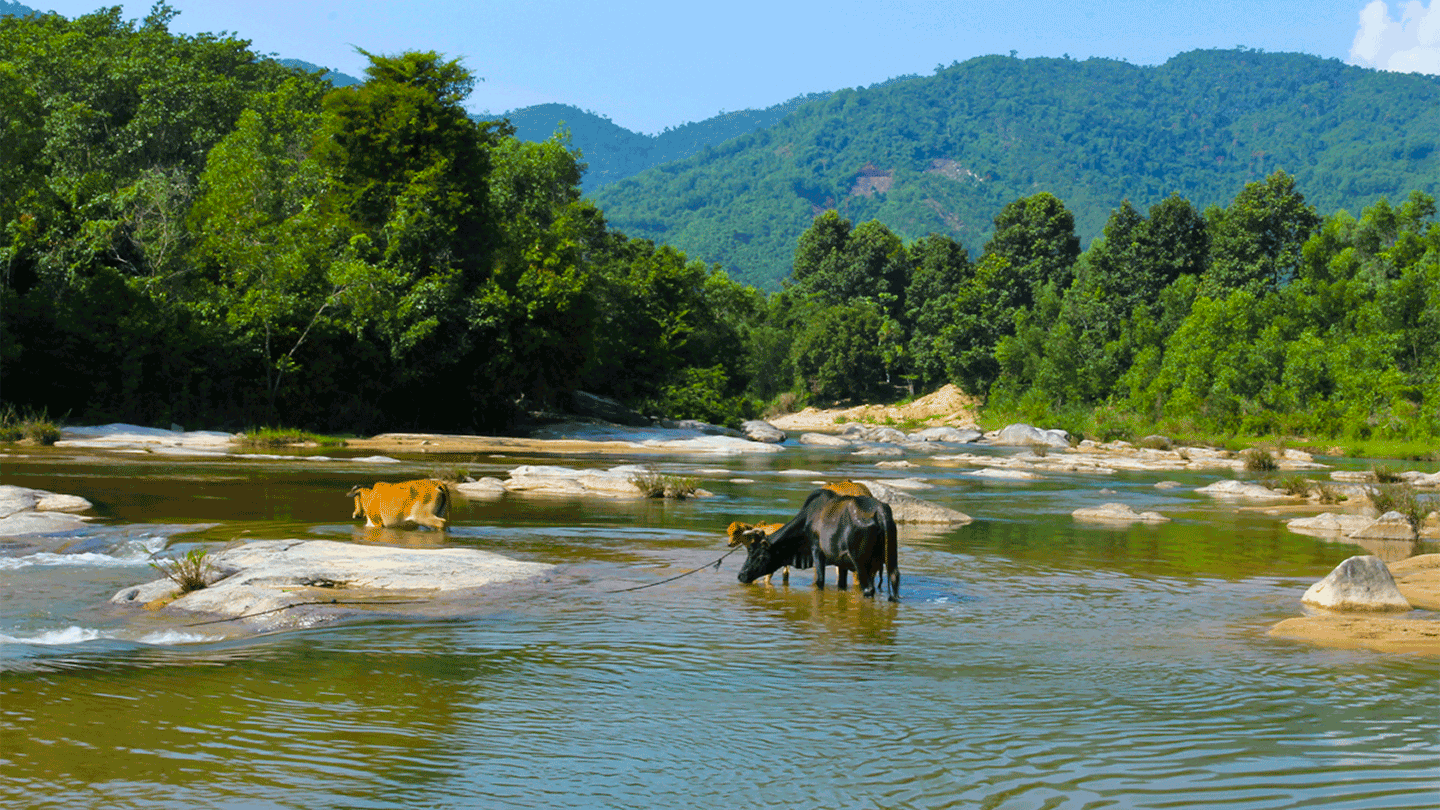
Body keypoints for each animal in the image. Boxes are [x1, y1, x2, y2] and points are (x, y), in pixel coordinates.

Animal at [737, 484, 892, 599]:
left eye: (760, 556)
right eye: (749, 552)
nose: (741, 575)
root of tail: (880, 513)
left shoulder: (817, 552)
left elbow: (819, 582)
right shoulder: (840, 562)